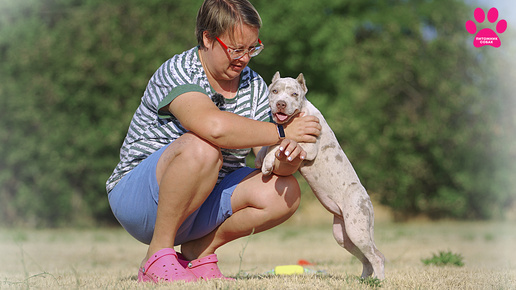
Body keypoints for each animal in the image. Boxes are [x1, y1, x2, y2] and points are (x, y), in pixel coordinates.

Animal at [256, 72, 384, 278]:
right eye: (274, 91)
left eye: (294, 94)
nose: (281, 104)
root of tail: (368, 199)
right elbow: (273, 141)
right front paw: (261, 157)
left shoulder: (307, 148)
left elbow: (282, 143)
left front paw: (267, 162)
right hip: (343, 235)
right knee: (367, 259)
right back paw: (364, 280)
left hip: (357, 230)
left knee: (377, 257)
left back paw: (378, 281)